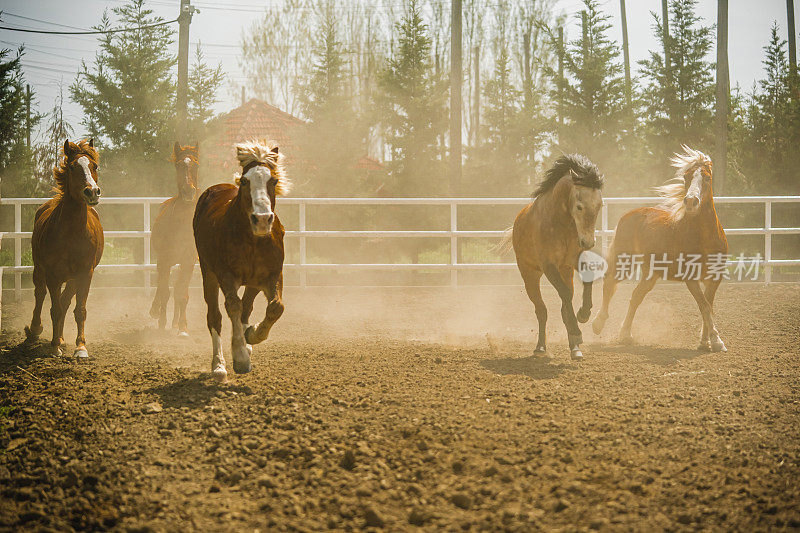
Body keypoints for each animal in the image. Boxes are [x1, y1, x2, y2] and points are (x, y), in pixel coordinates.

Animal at [24, 139, 104, 360]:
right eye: (72, 167)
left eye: (94, 166)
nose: (92, 192)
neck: (72, 234)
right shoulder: (53, 274)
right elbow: (55, 310)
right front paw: (54, 347)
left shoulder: (85, 274)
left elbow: (79, 310)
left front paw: (81, 347)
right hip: (39, 270)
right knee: (40, 294)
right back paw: (35, 330)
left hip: (73, 278)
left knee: (66, 300)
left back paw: (59, 337)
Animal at [149, 140, 200, 336]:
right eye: (178, 165)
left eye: (195, 164)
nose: (188, 192)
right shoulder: (163, 260)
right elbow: (164, 291)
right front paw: (161, 322)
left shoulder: (188, 261)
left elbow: (181, 293)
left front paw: (183, 328)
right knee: (163, 288)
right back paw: (157, 313)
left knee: (178, 287)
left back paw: (176, 322)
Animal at [192, 139, 290, 380]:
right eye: (245, 181)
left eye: (273, 180)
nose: (262, 220)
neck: (253, 240)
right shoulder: (226, 275)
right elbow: (233, 307)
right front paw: (240, 357)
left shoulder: (273, 275)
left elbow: (276, 307)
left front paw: (252, 335)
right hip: (208, 273)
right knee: (215, 316)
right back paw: (219, 365)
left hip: (253, 283)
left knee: (247, 308)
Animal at [510, 154, 604, 362]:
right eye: (579, 206)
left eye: (599, 206)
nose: (588, 242)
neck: (561, 222)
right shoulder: (549, 266)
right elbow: (565, 295)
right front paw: (577, 331)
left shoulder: (574, 260)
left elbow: (585, 282)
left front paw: (583, 314)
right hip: (530, 276)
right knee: (541, 310)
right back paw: (541, 347)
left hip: (566, 272)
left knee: (561, 309)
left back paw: (574, 348)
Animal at [592, 148, 732, 352]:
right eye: (686, 176)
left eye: (707, 177)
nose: (691, 201)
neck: (704, 237)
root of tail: (629, 214)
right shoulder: (691, 278)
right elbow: (705, 306)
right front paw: (716, 340)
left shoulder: (714, 277)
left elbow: (708, 306)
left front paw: (705, 341)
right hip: (624, 261)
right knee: (609, 285)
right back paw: (598, 323)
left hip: (651, 273)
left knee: (636, 296)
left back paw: (626, 334)